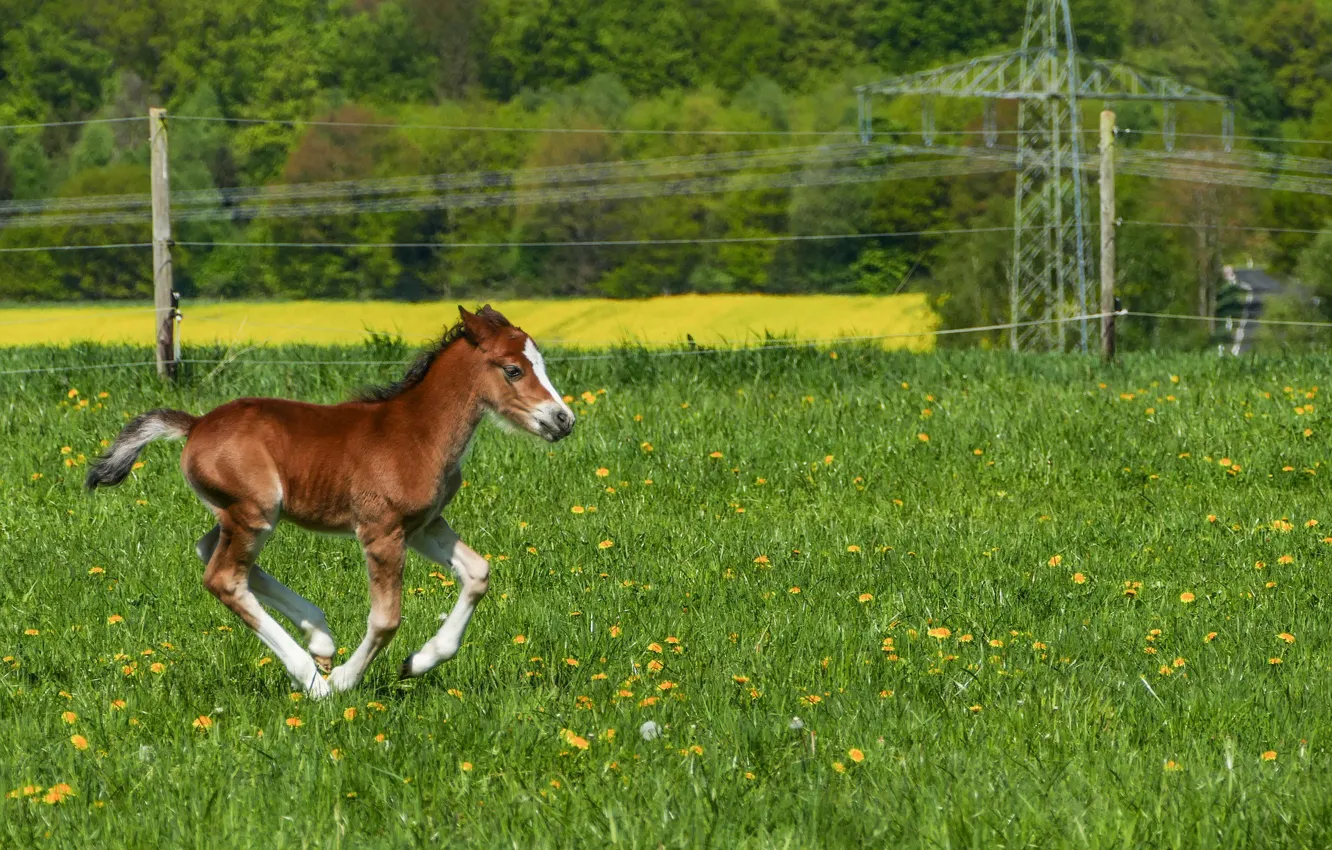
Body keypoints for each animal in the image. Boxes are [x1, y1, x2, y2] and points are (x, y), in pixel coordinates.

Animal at [85, 306, 575, 698]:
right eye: (513, 370)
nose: (563, 419)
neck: (419, 431)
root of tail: (195, 424)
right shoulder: (381, 531)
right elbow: (386, 619)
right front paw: (342, 681)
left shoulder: (423, 526)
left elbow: (478, 573)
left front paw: (417, 662)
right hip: (255, 512)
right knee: (224, 578)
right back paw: (314, 679)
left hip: (242, 513)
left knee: (210, 551)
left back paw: (319, 636)